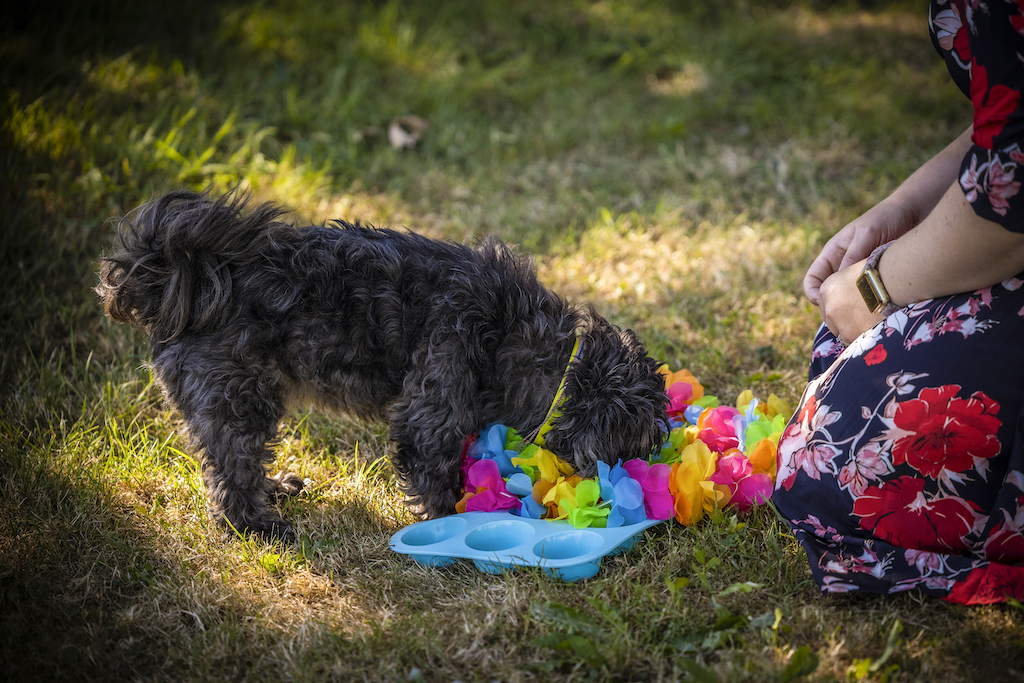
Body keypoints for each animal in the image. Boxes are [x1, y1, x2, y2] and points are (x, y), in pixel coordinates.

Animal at [97, 191, 671, 540]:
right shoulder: (435, 397)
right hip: (235, 395)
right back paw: (256, 525)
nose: (640, 474)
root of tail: (177, 274)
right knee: (231, 467)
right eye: (636, 444)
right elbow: (434, 471)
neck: (517, 339)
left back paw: (275, 491)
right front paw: (454, 522)